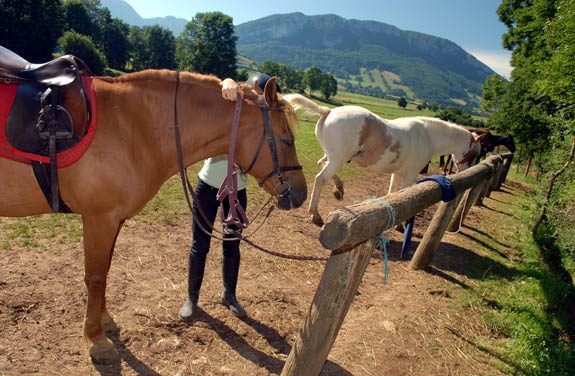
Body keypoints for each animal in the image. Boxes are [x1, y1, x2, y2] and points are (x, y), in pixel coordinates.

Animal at [0, 69, 308, 362]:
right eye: (287, 140)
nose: (301, 193)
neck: (132, 126)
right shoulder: (99, 219)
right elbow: (95, 277)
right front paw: (97, 340)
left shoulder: (113, 221)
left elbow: (105, 270)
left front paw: (105, 322)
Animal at [286, 94, 484, 226]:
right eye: (475, 153)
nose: (468, 171)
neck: (427, 135)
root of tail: (328, 111)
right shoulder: (410, 175)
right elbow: (405, 195)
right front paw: (400, 225)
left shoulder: (397, 173)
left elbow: (392, 195)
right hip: (338, 159)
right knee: (320, 179)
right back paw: (315, 214)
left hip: (332, 157)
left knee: (322, 166)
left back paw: (339, 190)